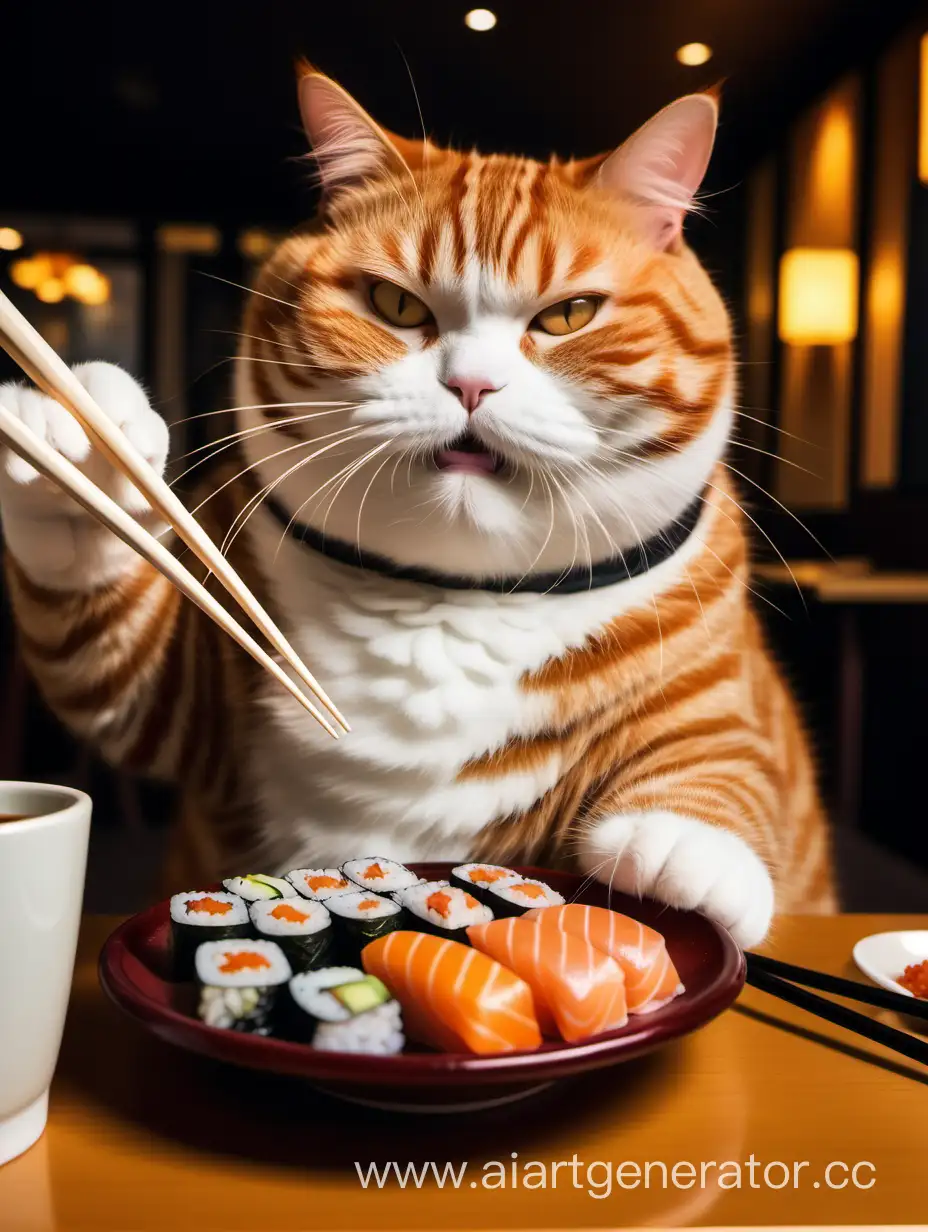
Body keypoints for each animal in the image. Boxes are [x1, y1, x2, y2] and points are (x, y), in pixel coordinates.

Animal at [0, 67, 833, 941]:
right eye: (396, 305)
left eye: (569, 315)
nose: (471, 385)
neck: (449, 596)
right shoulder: (191, 695)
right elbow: (117, 656)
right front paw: (82, 449)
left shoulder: (720, 681)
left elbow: (724, 749)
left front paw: (686, 844)